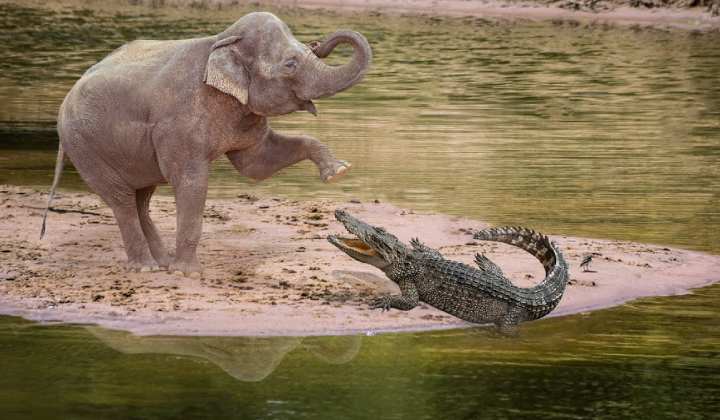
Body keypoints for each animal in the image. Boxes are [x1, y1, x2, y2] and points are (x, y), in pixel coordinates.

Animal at [41, 12, 372, 277]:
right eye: (290, 64)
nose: (319, 41)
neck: (222, 40)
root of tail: (63, 104)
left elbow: (257, 164)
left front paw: (338, 171)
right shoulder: (178, 126)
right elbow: (192, 183)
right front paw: (188, 274)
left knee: (141, 199)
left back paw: (162, 262)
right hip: (85, 148)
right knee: (121, 200)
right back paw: (147, 268)